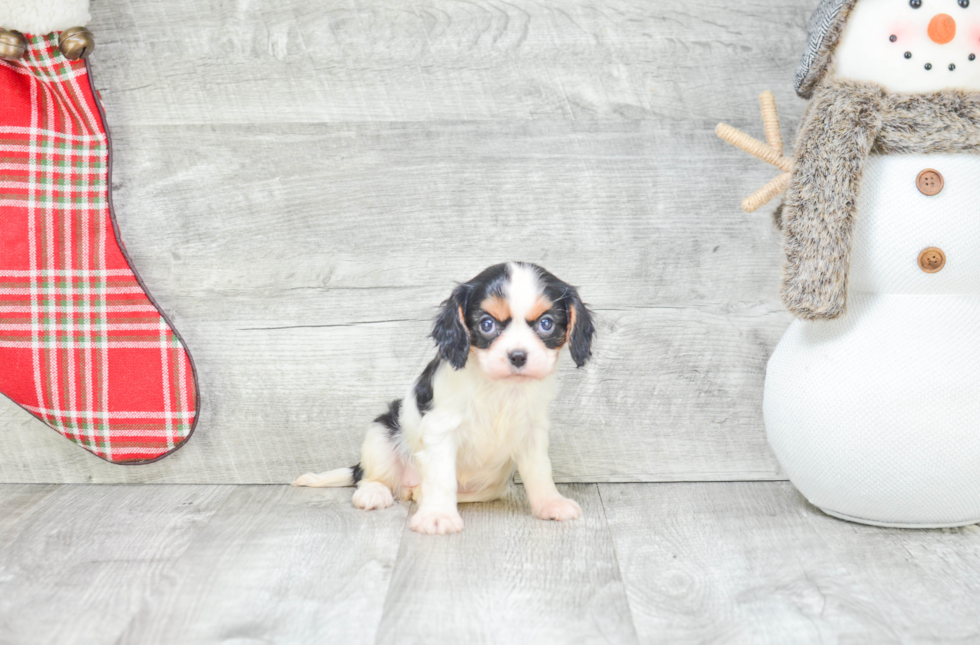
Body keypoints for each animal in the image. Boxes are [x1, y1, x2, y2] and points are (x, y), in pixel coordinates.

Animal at [292, 262, 596, 532]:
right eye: (487, 324)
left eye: (546, 324)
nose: (518, 356)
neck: (499, 388)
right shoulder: (440, 430)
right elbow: (441, 477)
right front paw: (437, 516)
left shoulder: (532, 432)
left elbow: (540, 471)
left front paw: (551, 504)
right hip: (382, 431)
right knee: (367, 477)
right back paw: (375, 492)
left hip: (491, 486)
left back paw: (419, 494)